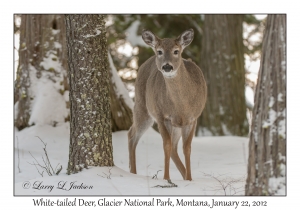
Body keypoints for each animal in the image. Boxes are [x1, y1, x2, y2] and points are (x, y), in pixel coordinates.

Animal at [127, 28, 207, 181]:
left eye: (176, 51)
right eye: (160, 51)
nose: (167, 66)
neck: (182, 106)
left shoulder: (193, 118)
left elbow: (187, 148)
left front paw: (189, 179)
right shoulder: (162, 116)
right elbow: (166, 145)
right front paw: (166, 178)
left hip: (175, 124)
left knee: (175, 148)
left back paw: (184, 175)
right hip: (142, 106)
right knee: (132, 134)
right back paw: (132, 173)